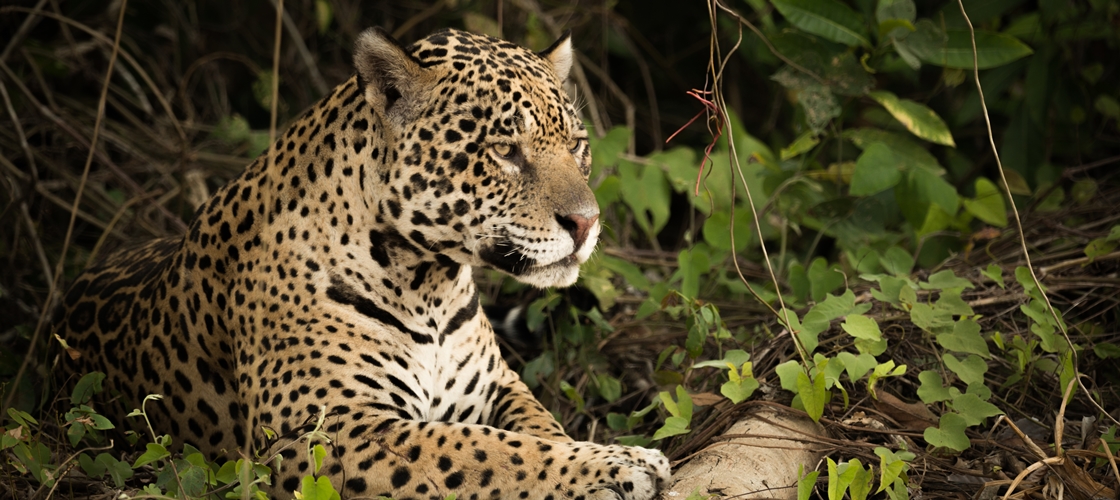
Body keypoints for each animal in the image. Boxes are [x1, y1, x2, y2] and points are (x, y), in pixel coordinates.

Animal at [53, 27, 670, 499]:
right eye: (503, 151)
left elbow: (539, 430)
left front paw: (598, 457)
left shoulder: (500, 385)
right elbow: (490, 452)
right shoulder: (323, 431)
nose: (587, 223)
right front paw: (621, 465)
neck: (429, 283)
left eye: (578, 146)